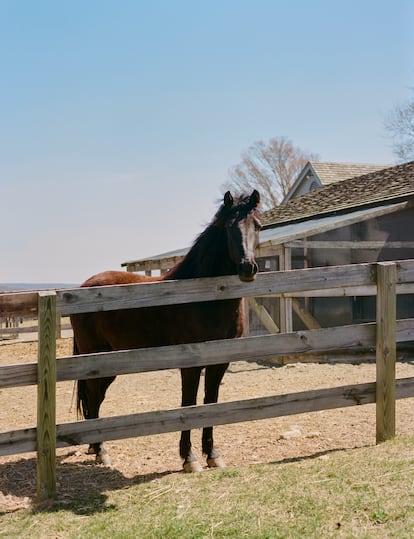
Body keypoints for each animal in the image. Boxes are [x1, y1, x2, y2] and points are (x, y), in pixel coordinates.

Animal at [69, 191, 260, 472]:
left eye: (257, 226)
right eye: (228, 227)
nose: (248, 268)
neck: (205, 299)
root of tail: (83, 287)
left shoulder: (220, 363)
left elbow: (211, 402)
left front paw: (212, 455)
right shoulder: (190, 365)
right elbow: (189, 403)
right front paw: (189, 458)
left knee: (96, 399)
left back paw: (95, 447)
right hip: (94, 361)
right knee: (93, 398)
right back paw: (101, 452)